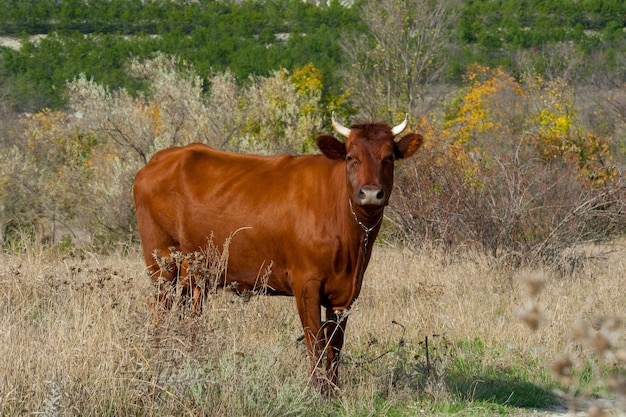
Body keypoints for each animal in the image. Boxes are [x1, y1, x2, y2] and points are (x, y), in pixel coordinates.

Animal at [133, 114, 422, 394]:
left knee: (187, 318)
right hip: (162, 263)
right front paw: (318, 393)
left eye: (389, 158)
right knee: (159, 311)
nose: (371, 194)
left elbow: (335, 345)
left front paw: (333, 392)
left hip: (195, 274)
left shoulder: (348, 293)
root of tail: (166, 156)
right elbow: (315, 340)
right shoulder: (306, 284)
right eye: (351, 157)